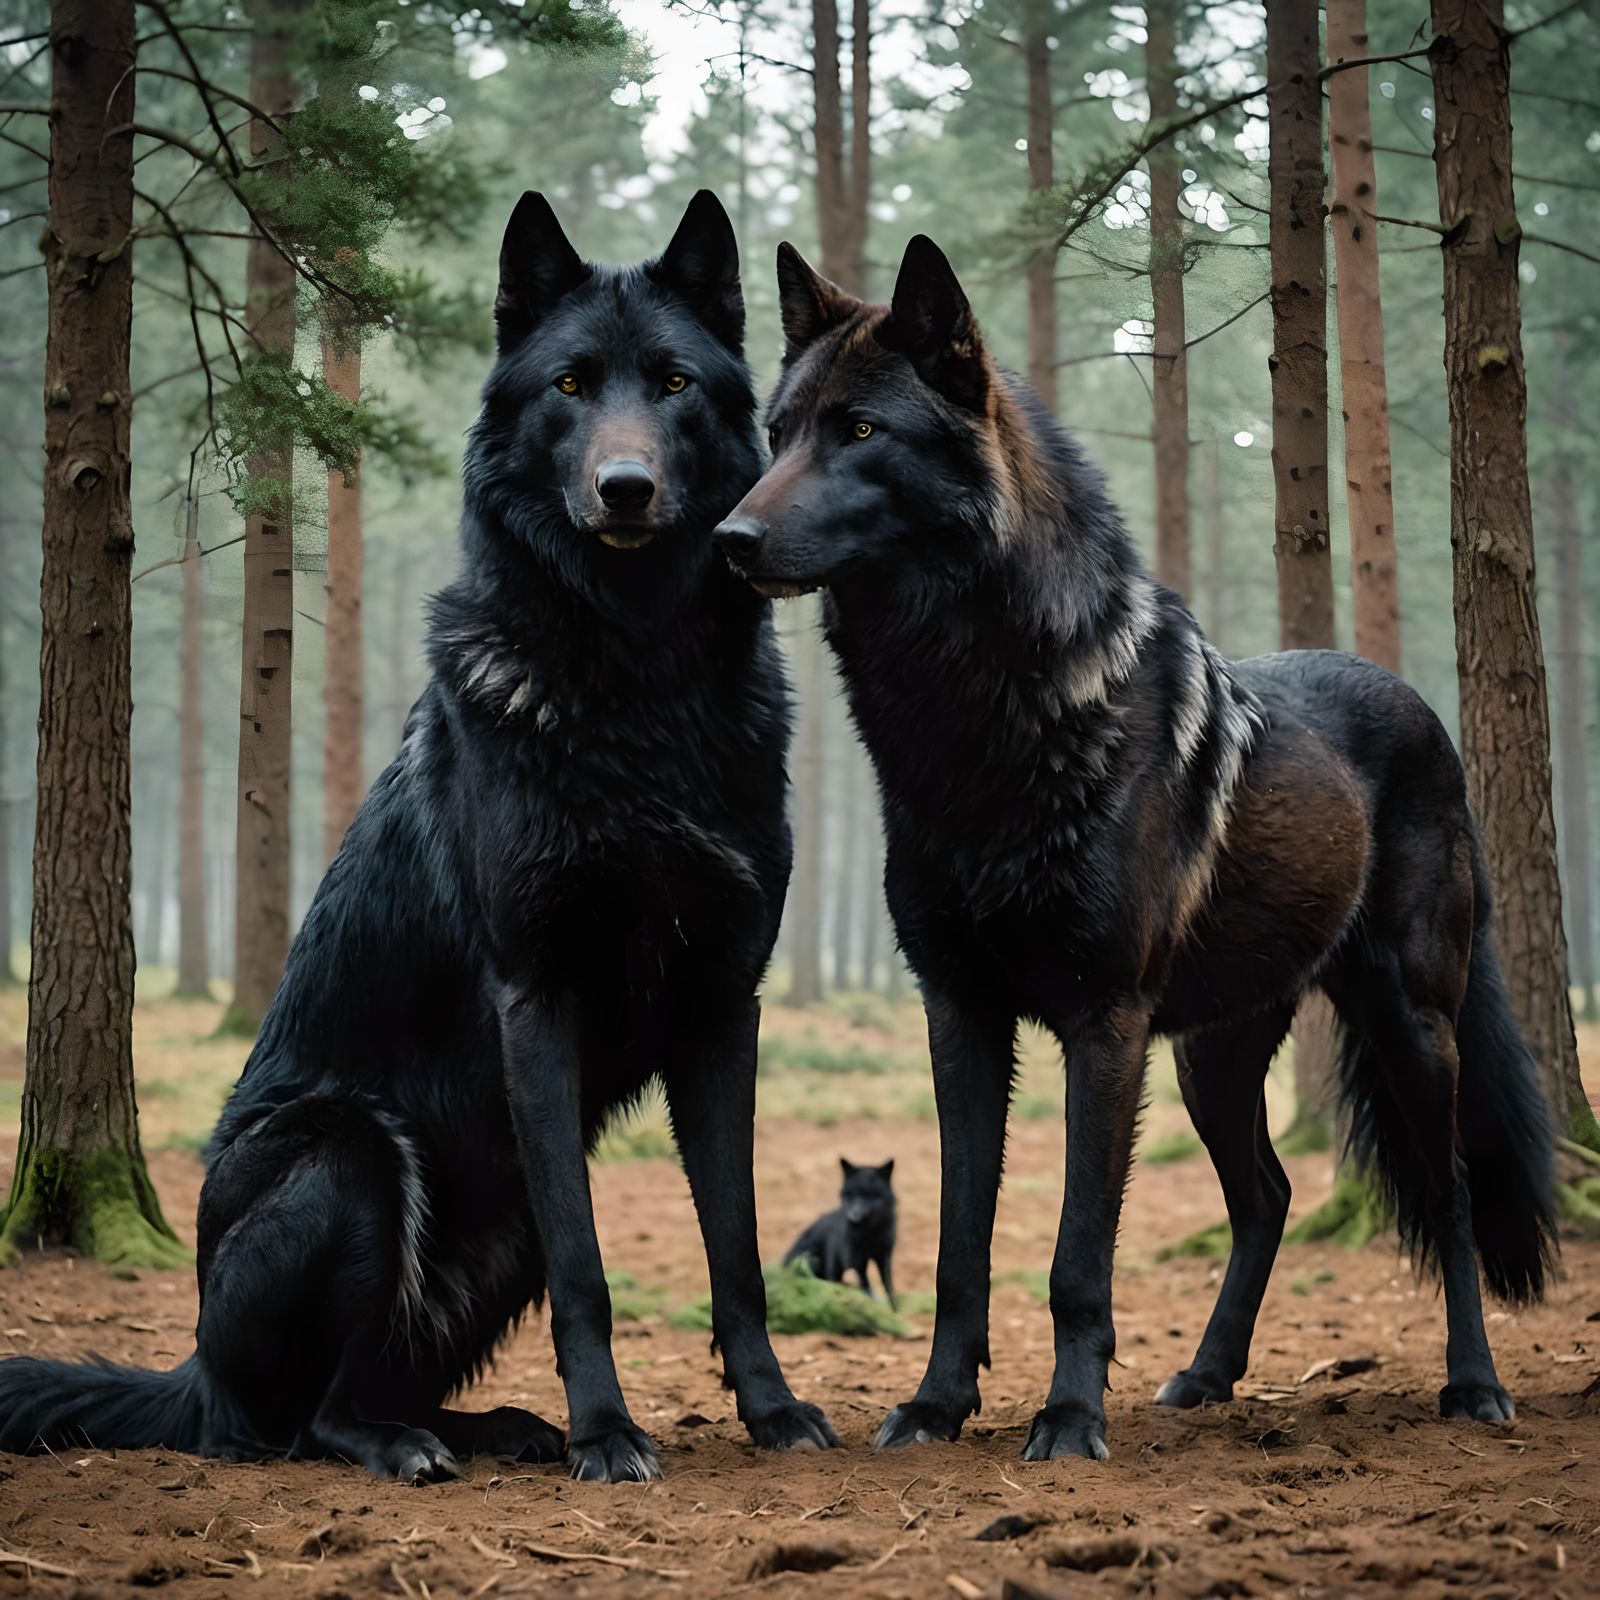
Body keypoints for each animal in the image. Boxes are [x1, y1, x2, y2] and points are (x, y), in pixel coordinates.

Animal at [0, 191, 837, 1483]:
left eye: (675, 384)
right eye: (569, 386)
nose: (627, 487)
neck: (638, 681)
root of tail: (191, 1372)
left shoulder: (721, 1008)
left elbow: (737, 1247)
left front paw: (771, 1407)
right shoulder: (535, 1000)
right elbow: (595, 1271)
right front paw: (609, 1434)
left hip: (495, 1224)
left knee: (380, 1381)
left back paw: (493, 1427)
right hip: (353, 1157)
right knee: (309, 1421)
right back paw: (417, 1445)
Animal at [785, 1158, 898, 1305]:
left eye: (870, 1194)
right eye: (850, 1194)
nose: (852, 1214)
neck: (870, 1234)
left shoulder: (884, 1256)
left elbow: (888, 1286)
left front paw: (895, 1308)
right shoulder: (852, 1259)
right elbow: (865, 1284)